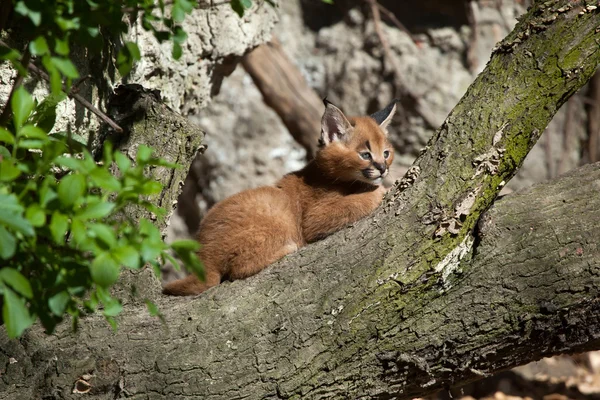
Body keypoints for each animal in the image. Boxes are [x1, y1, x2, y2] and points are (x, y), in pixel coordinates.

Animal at [163, 98, 398, 296]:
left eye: (386, 153)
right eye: (365, 154)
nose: (383, 168)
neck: (326, 173)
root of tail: (203, 256)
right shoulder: (314, 218)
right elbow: (358, 200)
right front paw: (380, 190)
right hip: (275, 208)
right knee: (237, 270)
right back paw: (288, 248)